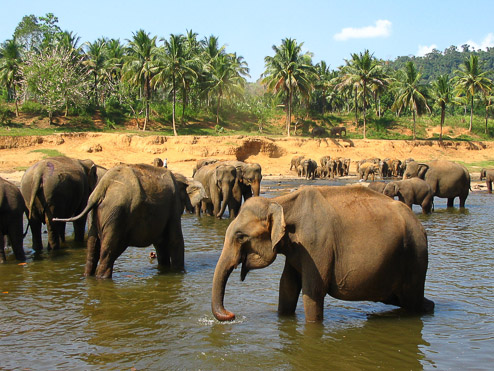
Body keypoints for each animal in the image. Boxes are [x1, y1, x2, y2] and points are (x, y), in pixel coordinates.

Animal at [52, 165, 203, 280]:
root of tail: (102, 188)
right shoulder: (173, 206)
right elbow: (175, 240)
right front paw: (179, 272)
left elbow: (161, 244)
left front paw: (164, 269)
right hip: (117, 215)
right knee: (109, 252)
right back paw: (102, 279)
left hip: (95, 216)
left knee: (92, 250)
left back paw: (88, 277)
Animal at [210, 186, 434, 322]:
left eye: (240, 237)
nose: (231, 314)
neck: (280, 201)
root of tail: (420, 226)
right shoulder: (296, 248)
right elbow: (287, 287)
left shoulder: (316, 244)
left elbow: (313, 290)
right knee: (402, 299)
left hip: (415, 255)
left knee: (411, 300)